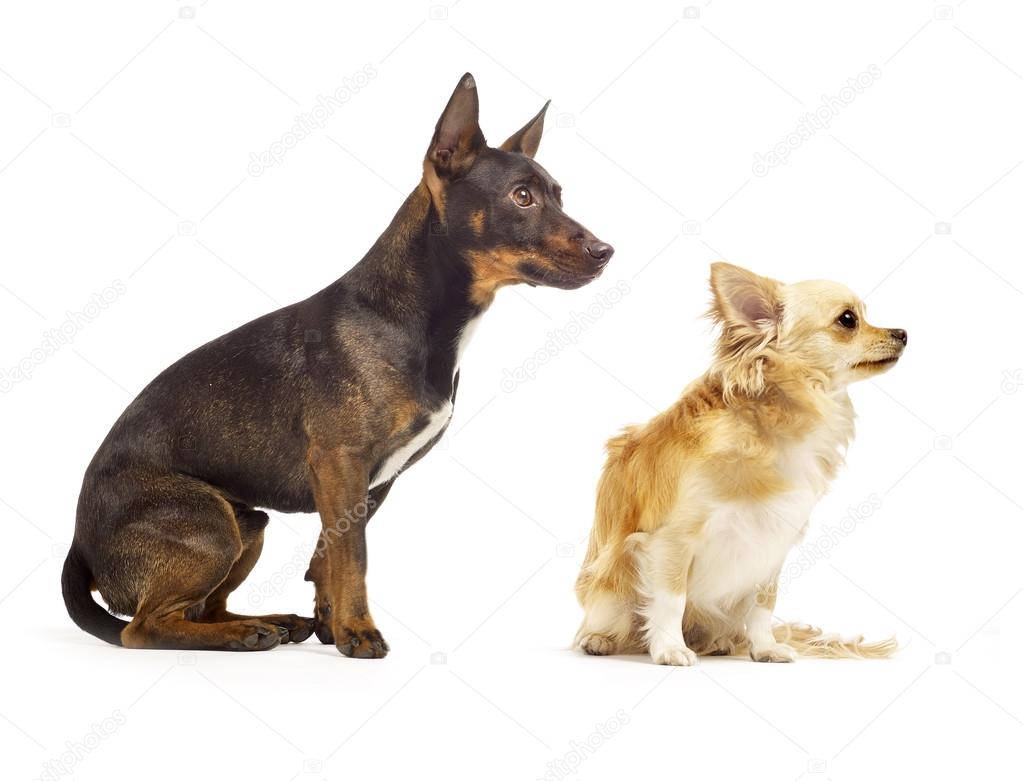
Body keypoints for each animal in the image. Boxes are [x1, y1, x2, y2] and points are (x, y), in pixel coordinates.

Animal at [65, 74, 613, 659]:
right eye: (521, 197)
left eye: (559, 195)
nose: (606, 251)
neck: (411, 316)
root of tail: (79, 546)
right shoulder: (341, 463)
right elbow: (355, 558)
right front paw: (359, 632)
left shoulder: (366, 486)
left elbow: (329, 555)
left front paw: (333, 624)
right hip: (210, 524)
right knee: (143, 628)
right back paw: (238, 635)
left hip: (247, 522)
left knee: (201, 607)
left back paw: (264, 622)